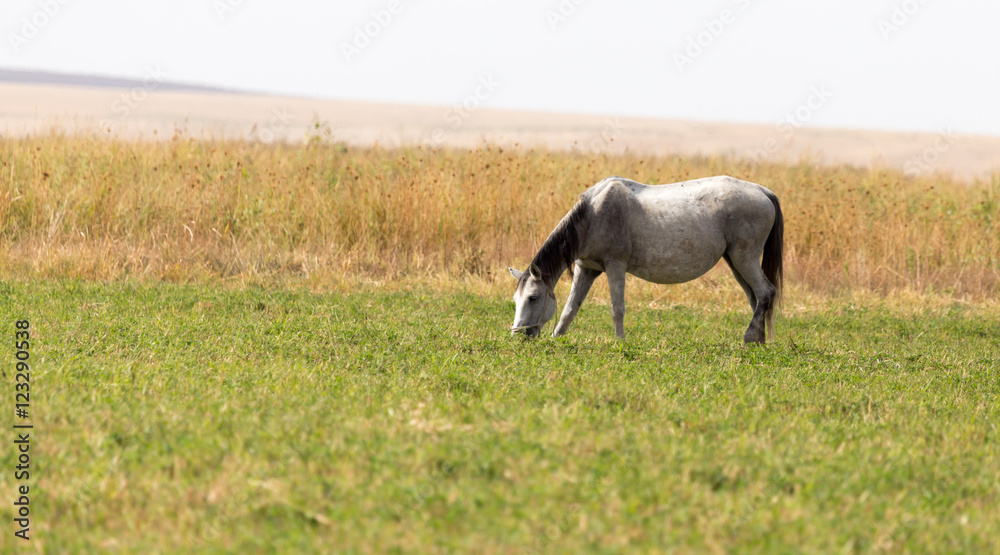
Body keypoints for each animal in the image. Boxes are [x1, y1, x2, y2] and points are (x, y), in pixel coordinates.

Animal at [508, 175, 784, 343]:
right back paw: (758, 341)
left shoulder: (615, 266)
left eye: (533, 298)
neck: (594, 214)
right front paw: (557, 338)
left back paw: (750, 338)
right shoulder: (586, 269)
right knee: (756, 298)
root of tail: (763, 191)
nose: (518, 335)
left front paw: (619, 343)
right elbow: (569, 309)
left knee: (766, 292)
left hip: (744, 259)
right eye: (516, 300)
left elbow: (617, 309)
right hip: (735, 262)